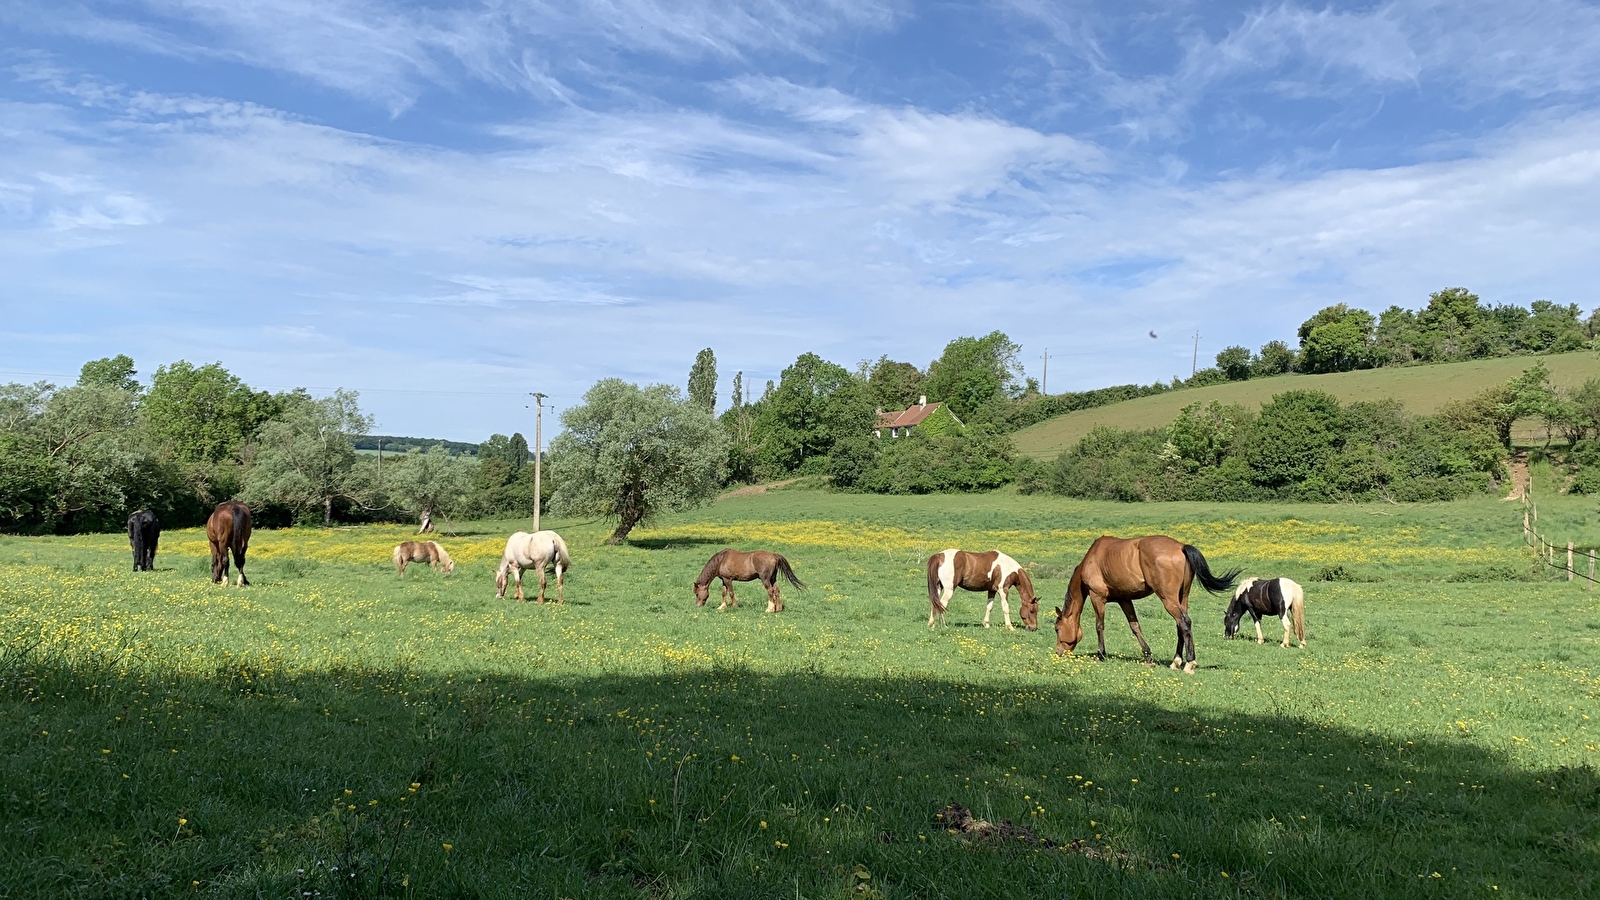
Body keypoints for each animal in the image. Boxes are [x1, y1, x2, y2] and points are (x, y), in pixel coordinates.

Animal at [1049, 531, 1235, 672]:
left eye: (1057, 629)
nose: (1058, 652)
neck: (1093, 558)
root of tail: (1180, 546)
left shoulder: (1097, 597)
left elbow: (1099, 626)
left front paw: (1101, 654)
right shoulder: (1124, 600)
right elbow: (1135, 627)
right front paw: (1148, 656)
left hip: (1168, 598)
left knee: (1184, 622)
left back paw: (1189, 662)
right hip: (1182, 597)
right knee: (1180, 625)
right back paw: (1176, 661)